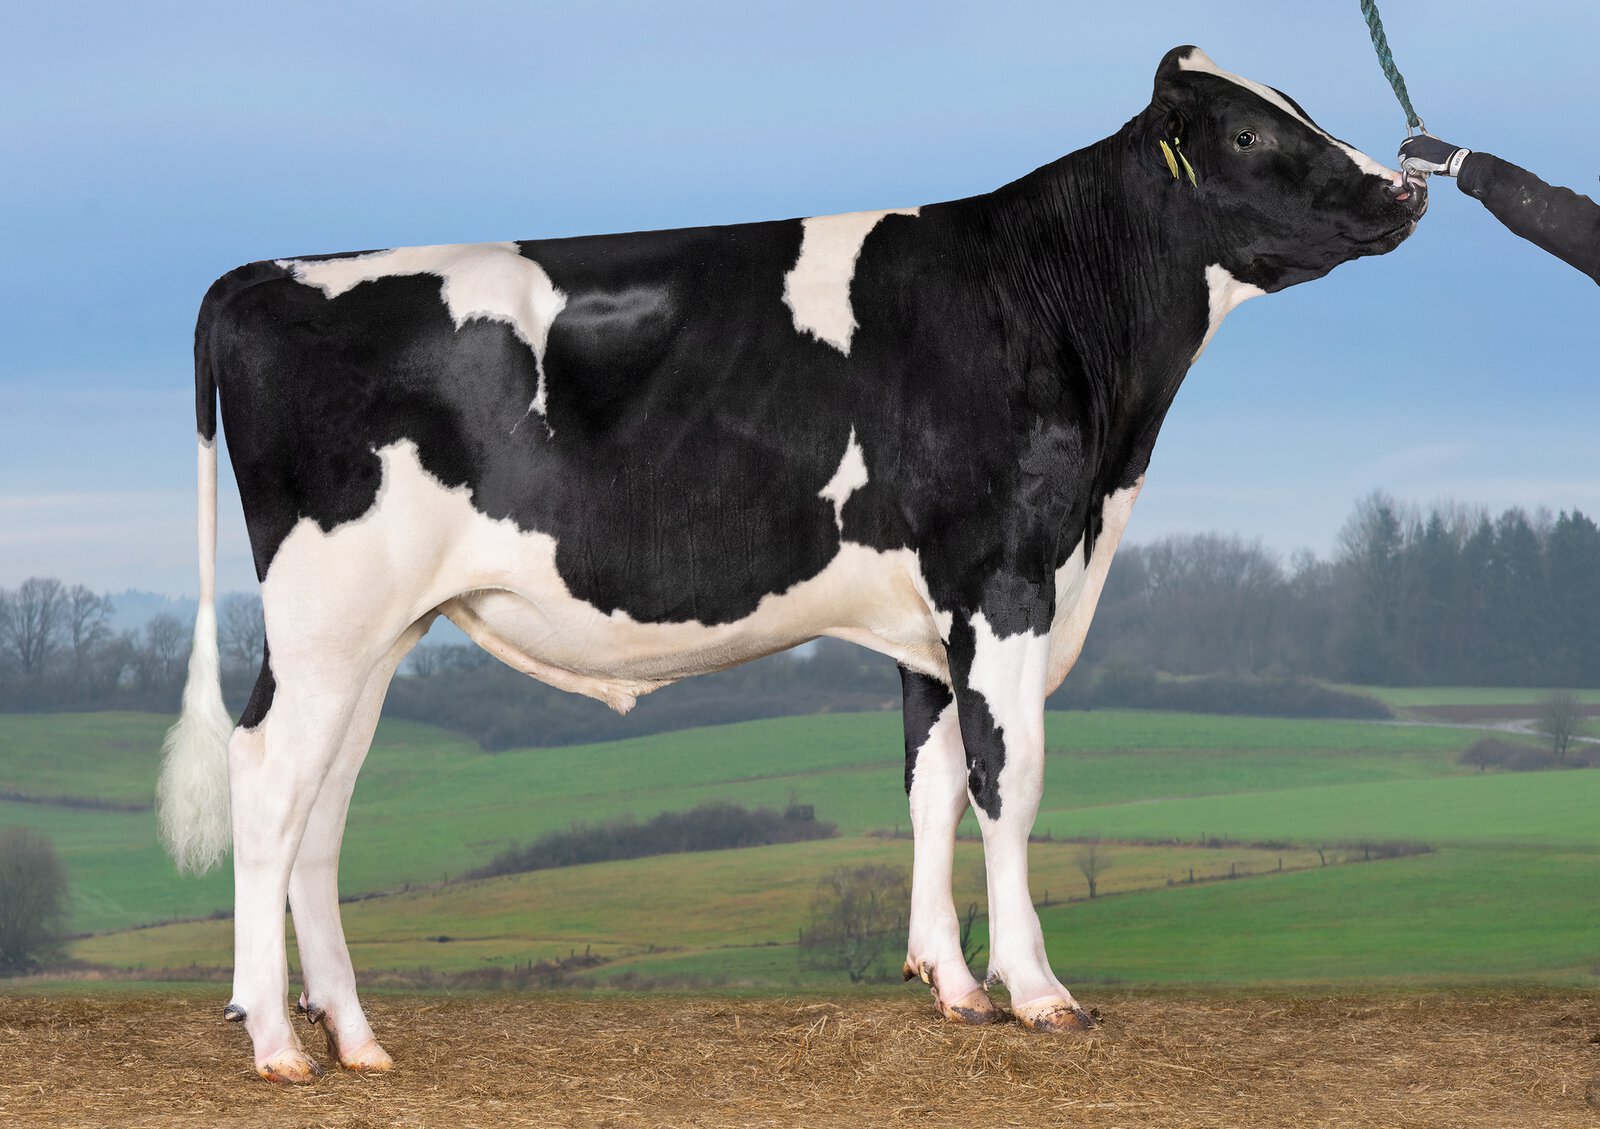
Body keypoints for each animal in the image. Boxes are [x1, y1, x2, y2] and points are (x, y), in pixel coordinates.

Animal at [157, 46, 1425, 1083]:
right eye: (1251, 135)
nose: (1408, 185)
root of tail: (265, 271)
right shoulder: (1004, 578)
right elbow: (1007, 782)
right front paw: (1037, 991)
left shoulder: (927, 618)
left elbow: (928, 785)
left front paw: (951, 983)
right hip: (328, 611)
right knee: (267, 777)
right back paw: (275, 1042)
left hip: (376, 631)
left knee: (323, 801)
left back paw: (354, 1036)